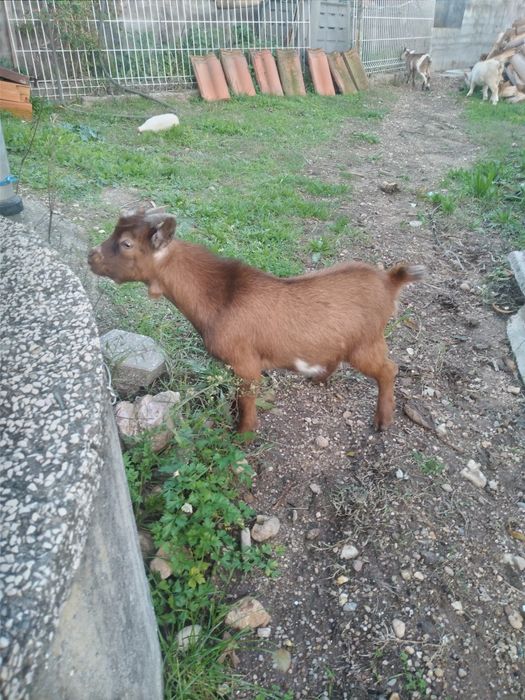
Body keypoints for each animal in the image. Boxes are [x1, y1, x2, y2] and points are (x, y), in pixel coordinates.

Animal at [88, 210, 424, 435]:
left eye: (127, 244)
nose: (90, 256)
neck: (221, 296)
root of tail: (390, 281)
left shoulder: (245, 363)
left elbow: (248, 400)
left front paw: (244, 434)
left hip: (367, 342)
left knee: (388, 369)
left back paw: (382, 421)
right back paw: (318, 377)